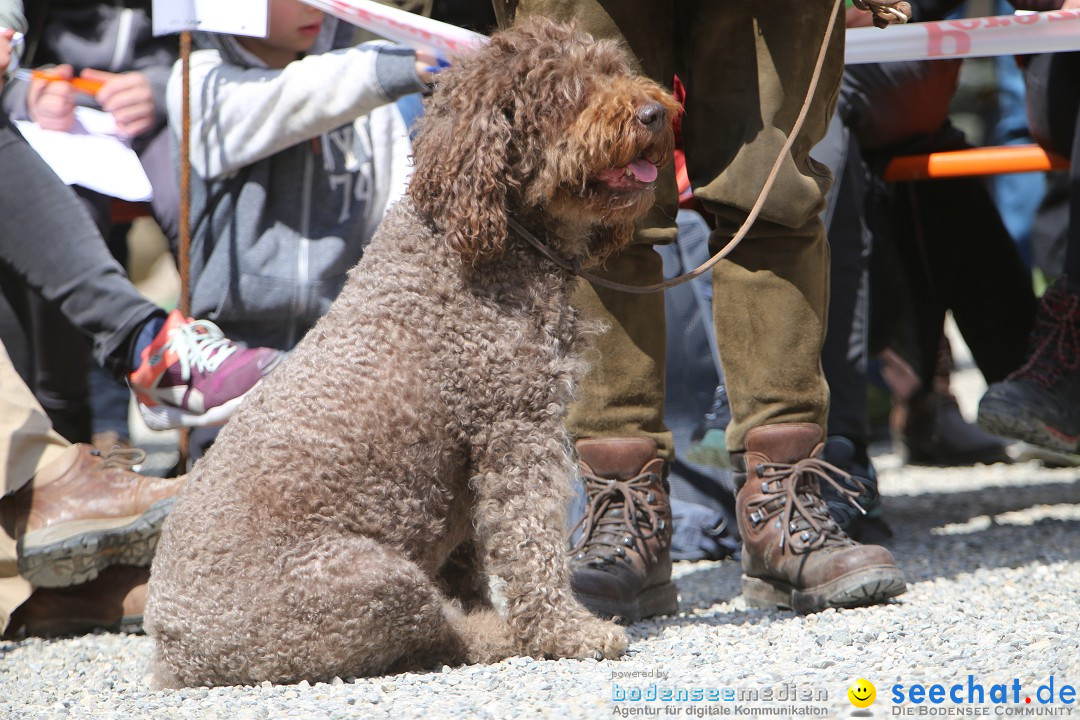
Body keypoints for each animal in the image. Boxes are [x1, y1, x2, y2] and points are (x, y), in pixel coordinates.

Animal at [143, 19, 673, 690]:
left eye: (612, 68)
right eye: (568, 89)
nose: (657, 113)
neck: (477, 241)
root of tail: (177, 656)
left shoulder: (470, 464)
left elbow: (473, 556)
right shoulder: (515, 430)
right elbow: (531, 545)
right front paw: (566, 633)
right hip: (367, 580)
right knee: (437, 634)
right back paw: (497, 634)